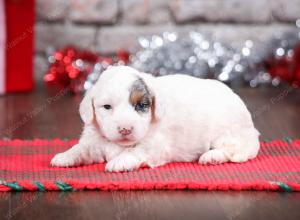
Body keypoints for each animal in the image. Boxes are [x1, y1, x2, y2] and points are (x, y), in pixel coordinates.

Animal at [50, 65, 258, 172]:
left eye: (141, 105)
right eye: (107, 107)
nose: (125, 129)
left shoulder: (156, 144)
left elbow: (137, 151)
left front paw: (120, 161)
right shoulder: (93, 141)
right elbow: (81, 148)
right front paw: (65, 156)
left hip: (227, 132)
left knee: (236, 150)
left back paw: (211, 156)